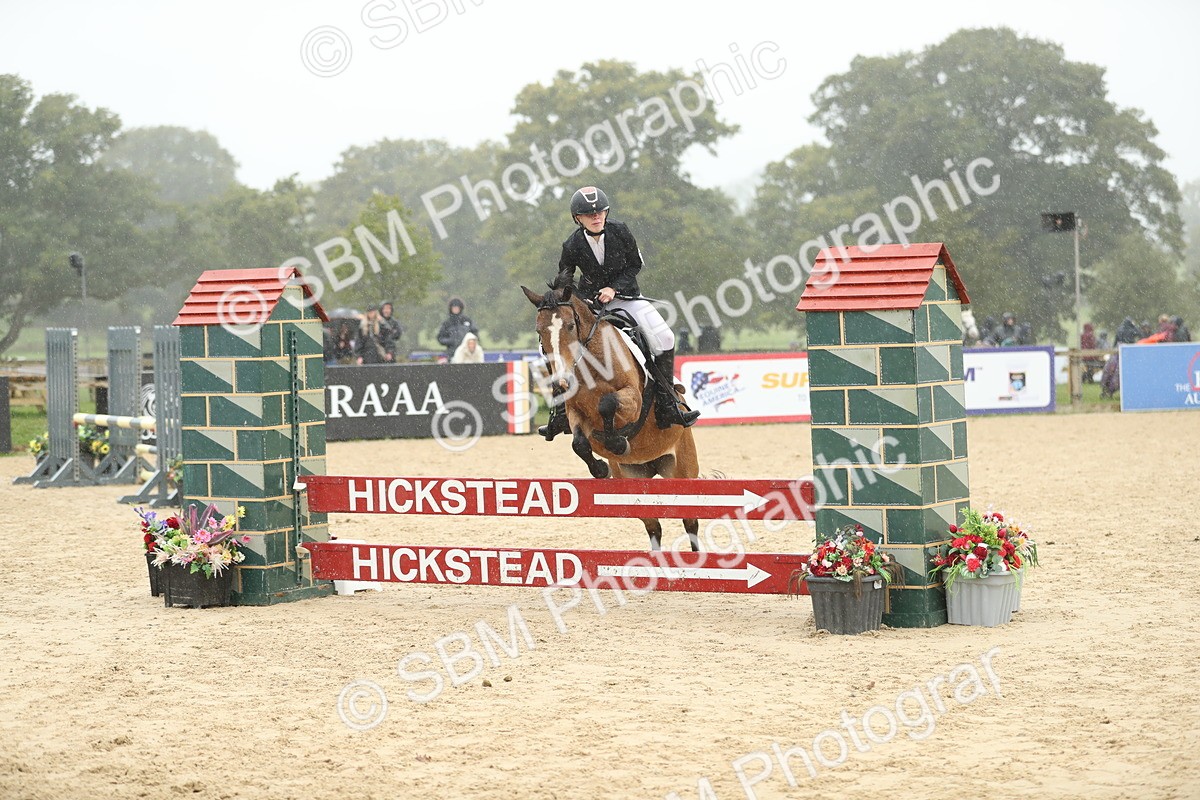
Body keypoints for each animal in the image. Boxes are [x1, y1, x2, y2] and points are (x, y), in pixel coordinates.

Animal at [522, 279, 701, 552]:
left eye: (571, 325)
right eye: (539, 331)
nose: (561, 383)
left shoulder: (633, 399)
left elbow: (607, 404)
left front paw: (616, 442)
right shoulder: (574, 412)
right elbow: (579, 443)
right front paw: (600, 467)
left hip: (682, 471)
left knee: (690, 523)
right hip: (632, 479)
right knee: (654, 527)